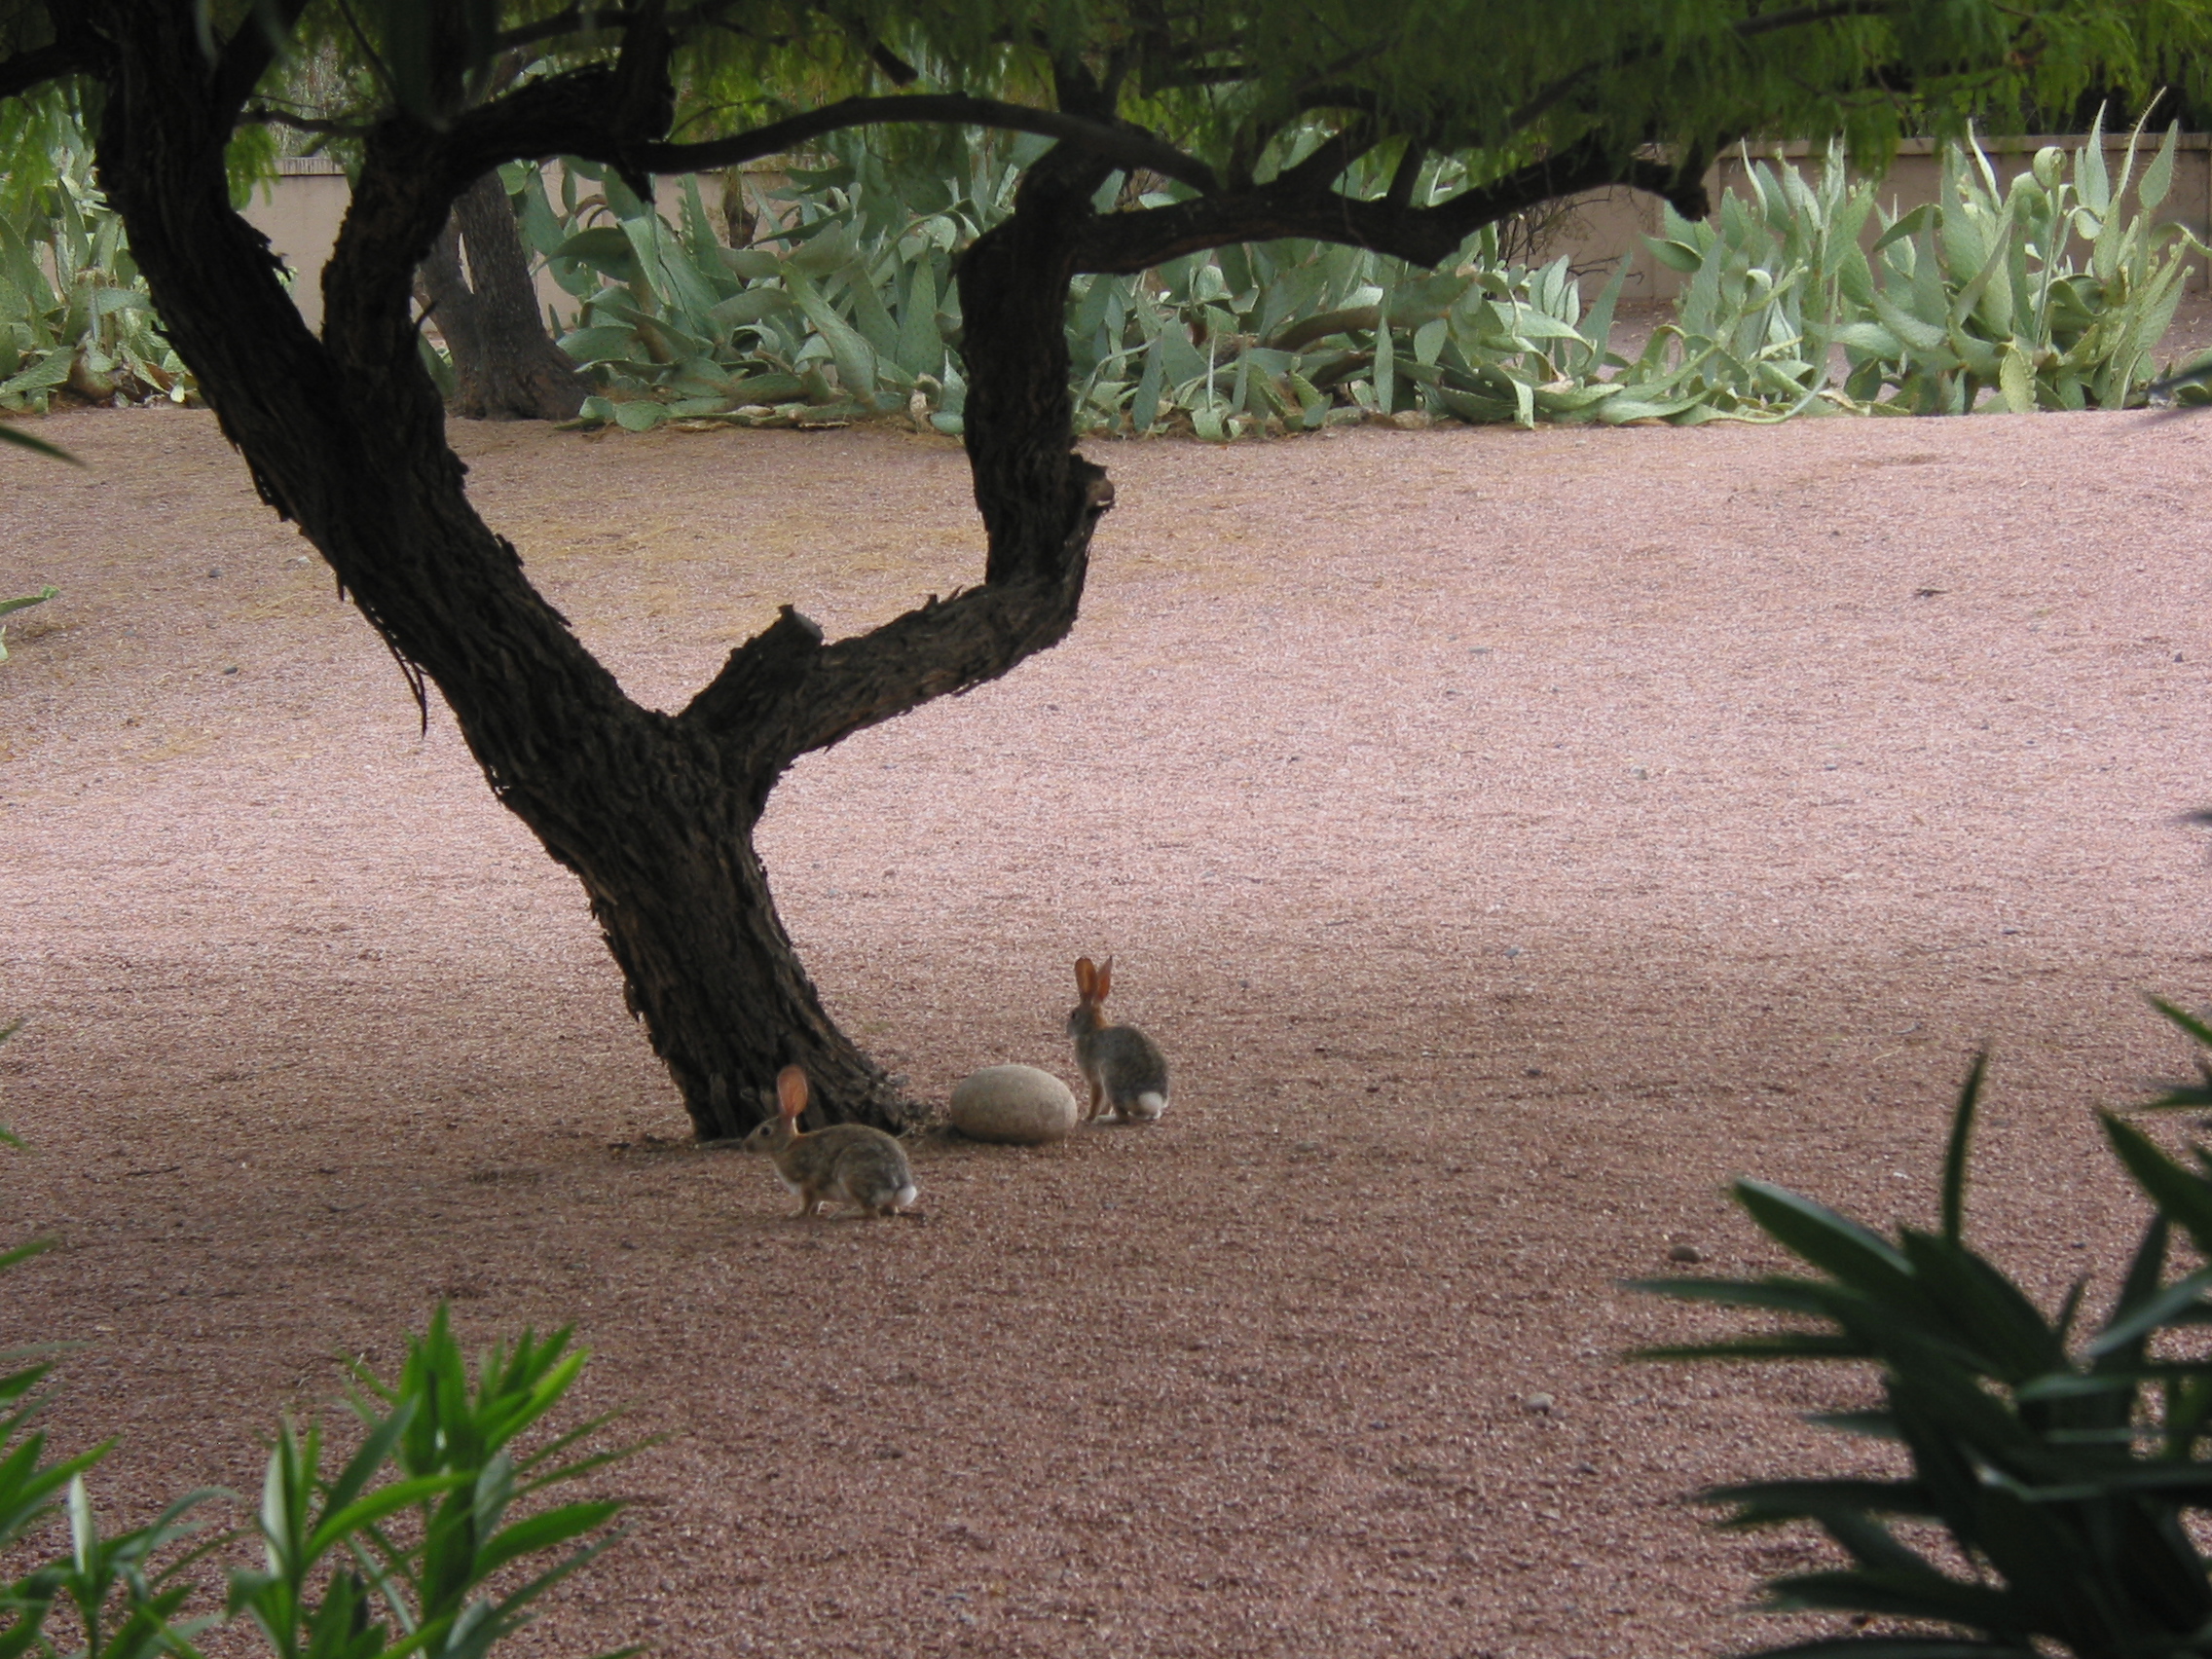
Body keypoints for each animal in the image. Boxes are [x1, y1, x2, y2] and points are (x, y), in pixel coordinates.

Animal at [743, 1066, 915, 1221]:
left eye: (765, 1131)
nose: (746, 1146)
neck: (788, 1144)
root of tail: (897, 1187)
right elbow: (817, 1202)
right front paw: (813, 1212)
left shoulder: (807, 1183)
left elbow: (807, 1202)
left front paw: (796, 1214)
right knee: (888, 1211)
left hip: (852, 1177)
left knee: (872, 1213)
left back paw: (841, 1215)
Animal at [1070, 955, 1176, 1124]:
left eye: (1073, 1015)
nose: (1067, 1030)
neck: (1092, 1028)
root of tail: (1150, 1098)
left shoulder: (1095, 1077)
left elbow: (1096, 1098)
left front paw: (1088, 1118)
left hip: (1111, 1079)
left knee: (1123, 1117)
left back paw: (1104, 1119)